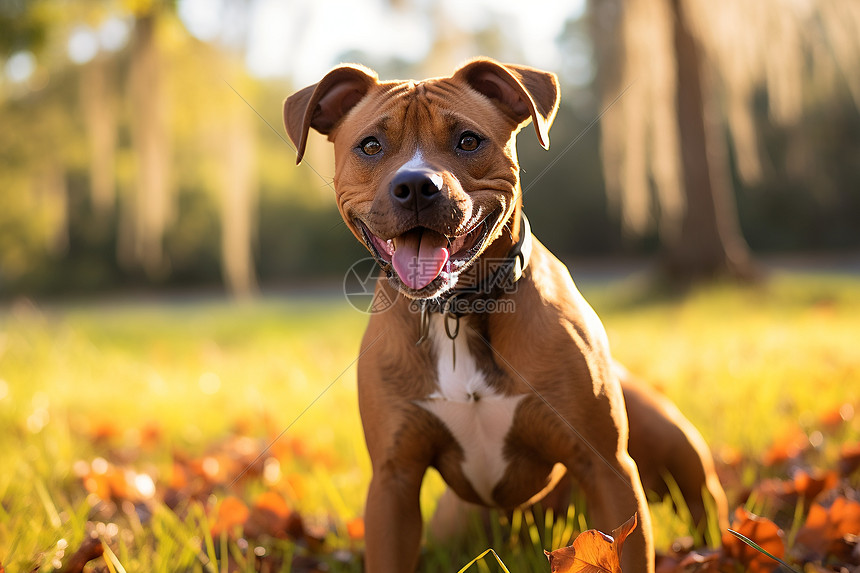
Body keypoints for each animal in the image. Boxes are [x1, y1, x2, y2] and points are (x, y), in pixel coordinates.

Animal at [284, 54, 724, 572]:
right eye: (370, 145)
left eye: (468, 140)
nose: (415, 185)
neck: (455, 312)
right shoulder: (394, 481)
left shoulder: (608, 468)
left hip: (675, 450)